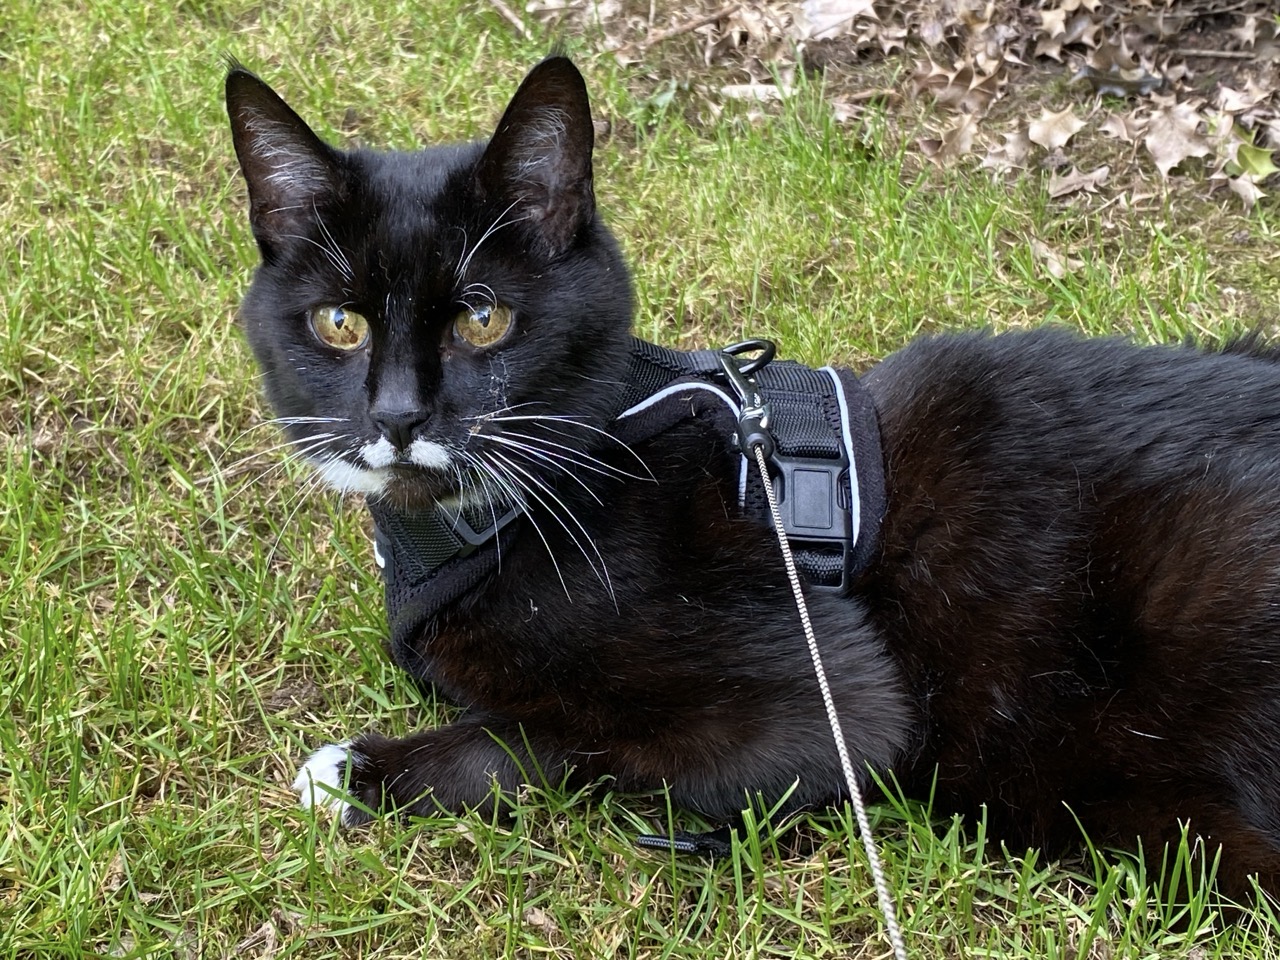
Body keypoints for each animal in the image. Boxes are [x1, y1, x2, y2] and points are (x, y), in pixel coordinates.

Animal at [225, 58, 1280, 901]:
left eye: (484, 320)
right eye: (339, 323)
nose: (399, 417)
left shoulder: (828, 711)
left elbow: (556, 740)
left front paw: (356, 772)